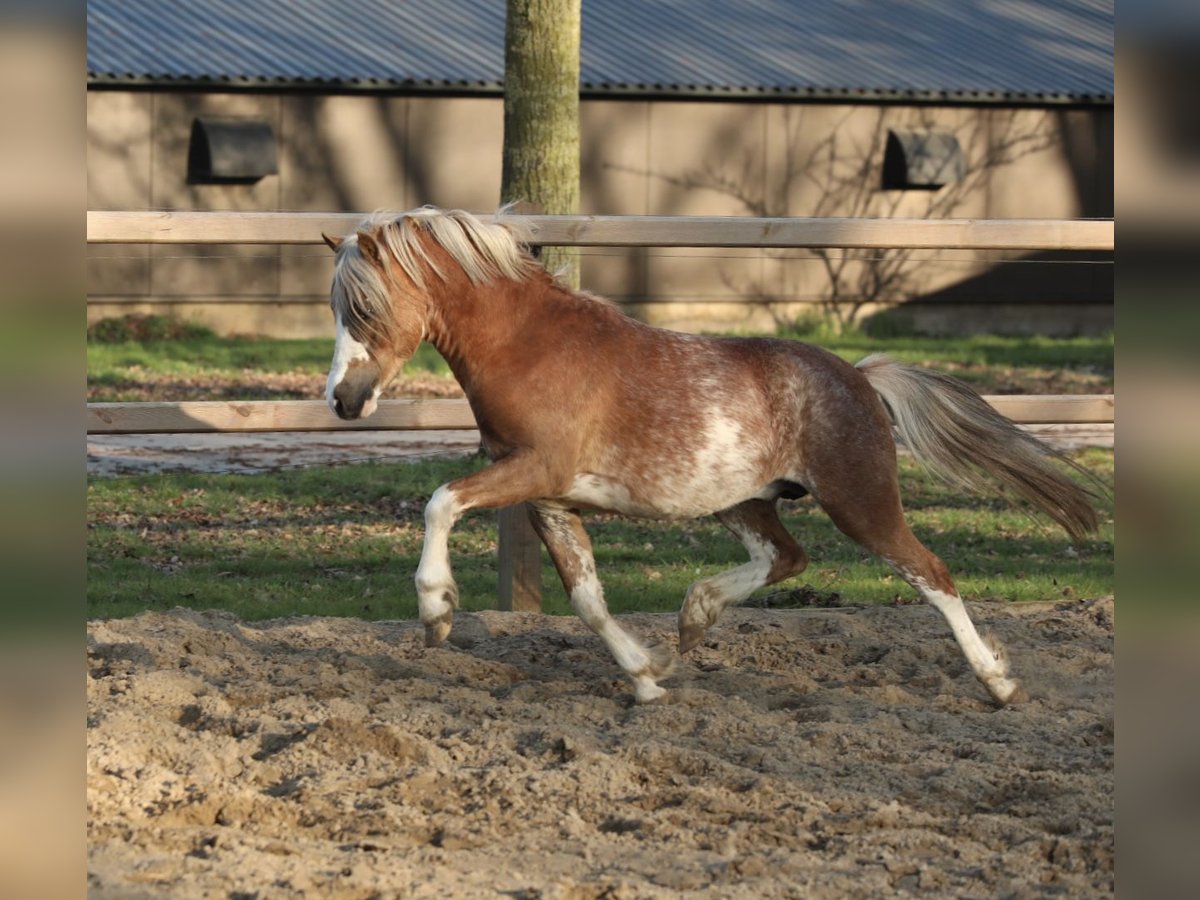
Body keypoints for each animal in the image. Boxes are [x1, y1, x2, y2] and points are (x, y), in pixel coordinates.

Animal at [319, 207, 1099, 710]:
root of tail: (858, 377)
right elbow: (587, 600)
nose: (343, 399)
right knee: (786, 557)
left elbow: (440, 501)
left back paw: (998, 683)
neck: (531, 348)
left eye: (367, 309)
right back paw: (694, 617)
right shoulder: (551, 498)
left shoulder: (533, 471)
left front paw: (437, 611)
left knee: (930, 574)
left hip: (860, 500)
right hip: (743, 500)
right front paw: (646, 675)